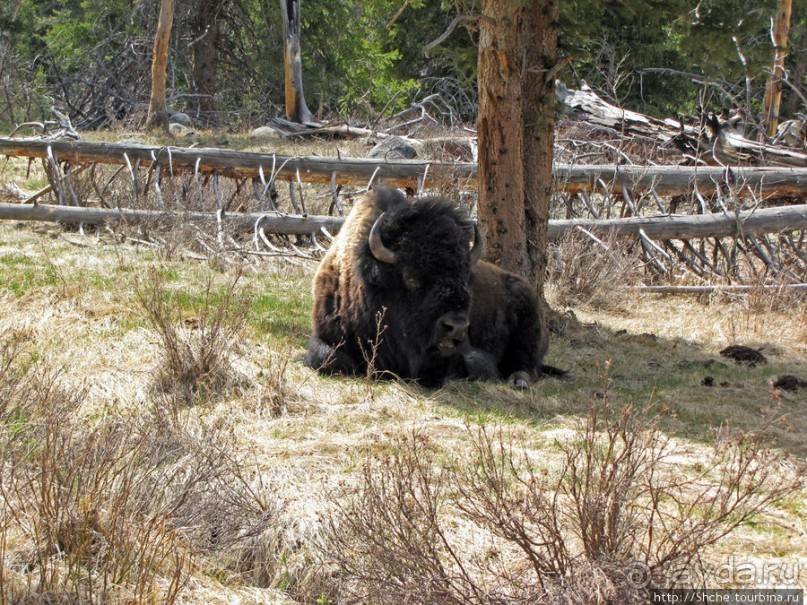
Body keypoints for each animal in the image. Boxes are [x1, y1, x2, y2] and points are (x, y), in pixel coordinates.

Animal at [304, 186, 548, 390]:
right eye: (410, 278)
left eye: (465, 278)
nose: (457, 326)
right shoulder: (325, 334)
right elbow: (325, 358)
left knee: (528, 365)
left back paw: (518, 381)